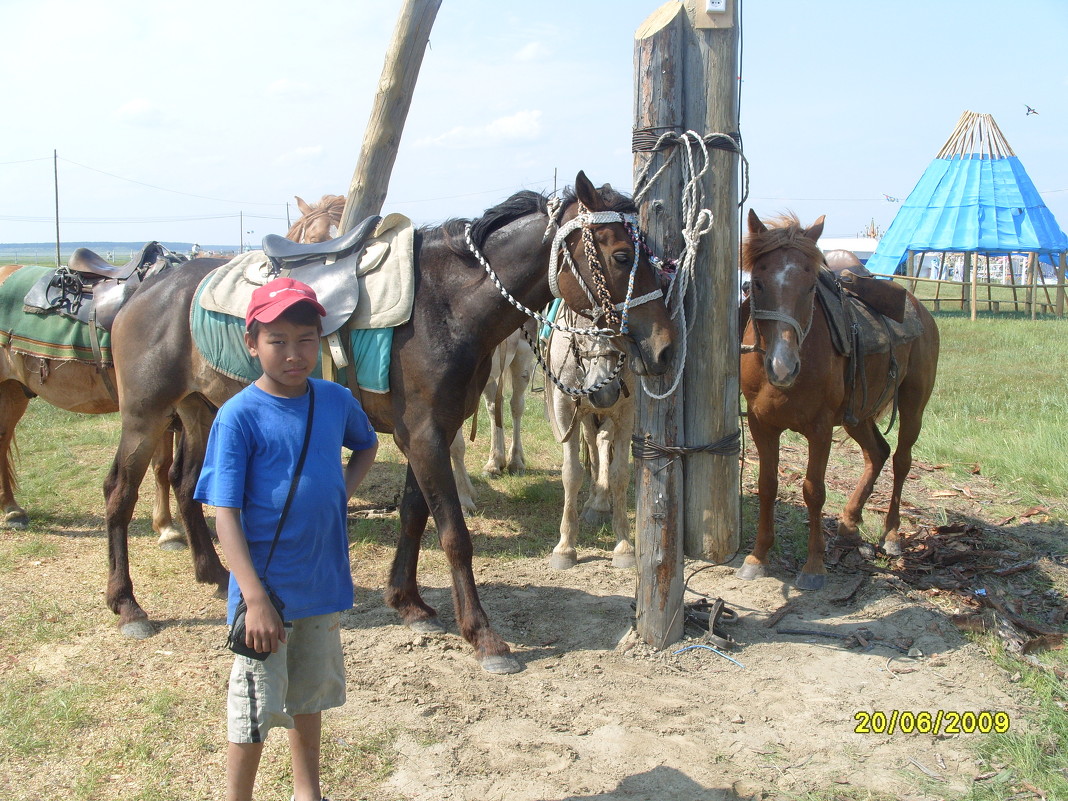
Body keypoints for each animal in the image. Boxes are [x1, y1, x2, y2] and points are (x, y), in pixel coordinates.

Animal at [542, 305, 632, 572]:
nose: (604, 392)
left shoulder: (626, 411)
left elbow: (620, 474)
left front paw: (624, 544)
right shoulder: (565, 410)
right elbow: (572, 474)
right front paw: (565, 547)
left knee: (601, 440)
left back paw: (600, 504)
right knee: (593, 442)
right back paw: (595, 500)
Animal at [739, 211, 939, 589]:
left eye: (810, 287)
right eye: (756, 283)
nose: (783, 366)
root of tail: (919, 308)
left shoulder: (819, 430)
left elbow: (814, 490)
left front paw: (814, 565)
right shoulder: (762, 424)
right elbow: (767, 486)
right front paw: (758, 556)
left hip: (913, 405)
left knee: (901, 460)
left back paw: (892, 535)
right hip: (857, 414)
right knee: (877, 453)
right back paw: (848, 522)